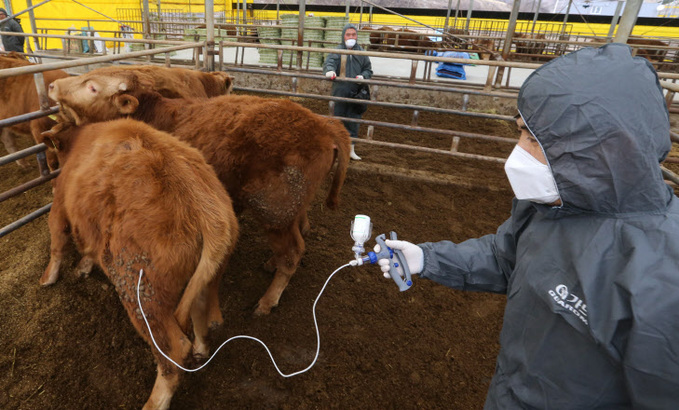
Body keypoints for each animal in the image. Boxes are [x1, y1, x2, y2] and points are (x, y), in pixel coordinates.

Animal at [40, 117, 239, 408]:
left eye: (52, 156)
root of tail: (209, 212)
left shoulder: (60, 206)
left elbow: (56, 242)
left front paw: (48, 278)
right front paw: (83, 267)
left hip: (142, 293)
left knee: (173, 351)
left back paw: (154, 402)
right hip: (203, 278)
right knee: (200, 308)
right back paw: (202, 350)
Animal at [49, 70, 350, 316]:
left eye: (92, 87)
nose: (52, 85)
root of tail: (325, 127)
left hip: (275, 211)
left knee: (293, 252)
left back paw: (267, 300)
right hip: (289, 211)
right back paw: (271, 264)